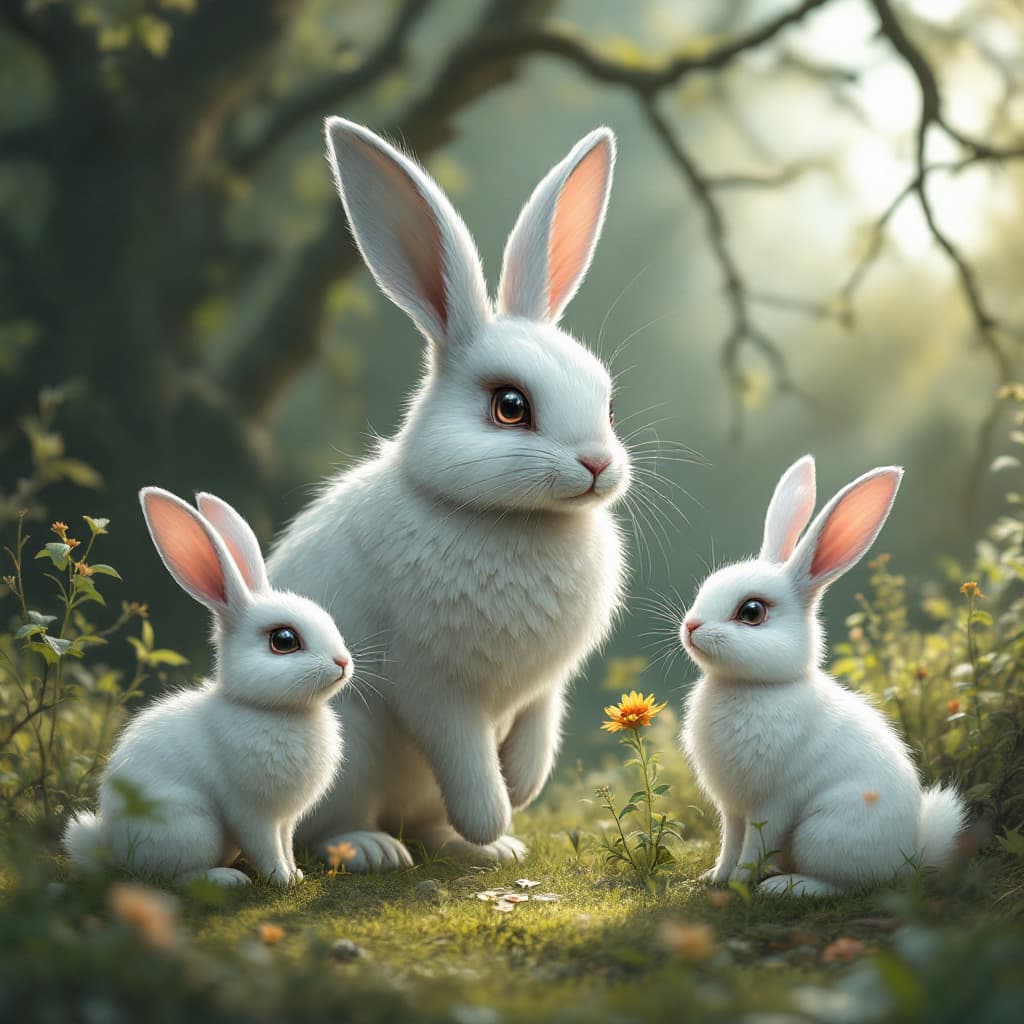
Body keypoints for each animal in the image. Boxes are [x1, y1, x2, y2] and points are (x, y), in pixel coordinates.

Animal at [63, 488, 351, 886]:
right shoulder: (251, 813)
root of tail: (111, 846)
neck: (274, 711)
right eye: (284, 640)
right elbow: (266, 847)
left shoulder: (284, 820)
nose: (343, 663)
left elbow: (286, 843)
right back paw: (227, 879)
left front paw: (296, 874)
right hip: (193, 829)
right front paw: (281, 879)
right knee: (173, 878)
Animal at [267, 118, 630, 871]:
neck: (520, 522)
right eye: (510, 406)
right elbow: (463, 754)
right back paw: (378, 850)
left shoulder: (547, 685)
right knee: (319, 830)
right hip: (345, 750)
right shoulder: (432, 686)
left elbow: (539, 726)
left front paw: (523, 789)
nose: (597, 464)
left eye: (609, 405)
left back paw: (485, 852)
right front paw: (495, 812)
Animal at [679, 456, 966, 896]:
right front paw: (713, 879)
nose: (691, 626)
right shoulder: (732, 807)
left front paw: (741, 886)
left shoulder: (773, 804)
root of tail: (909, 856)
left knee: (850, 885)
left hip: (822, 833)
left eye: (751, 612)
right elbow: (730, 843)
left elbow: (753, 845)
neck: (752, 687)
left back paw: (784, 887)